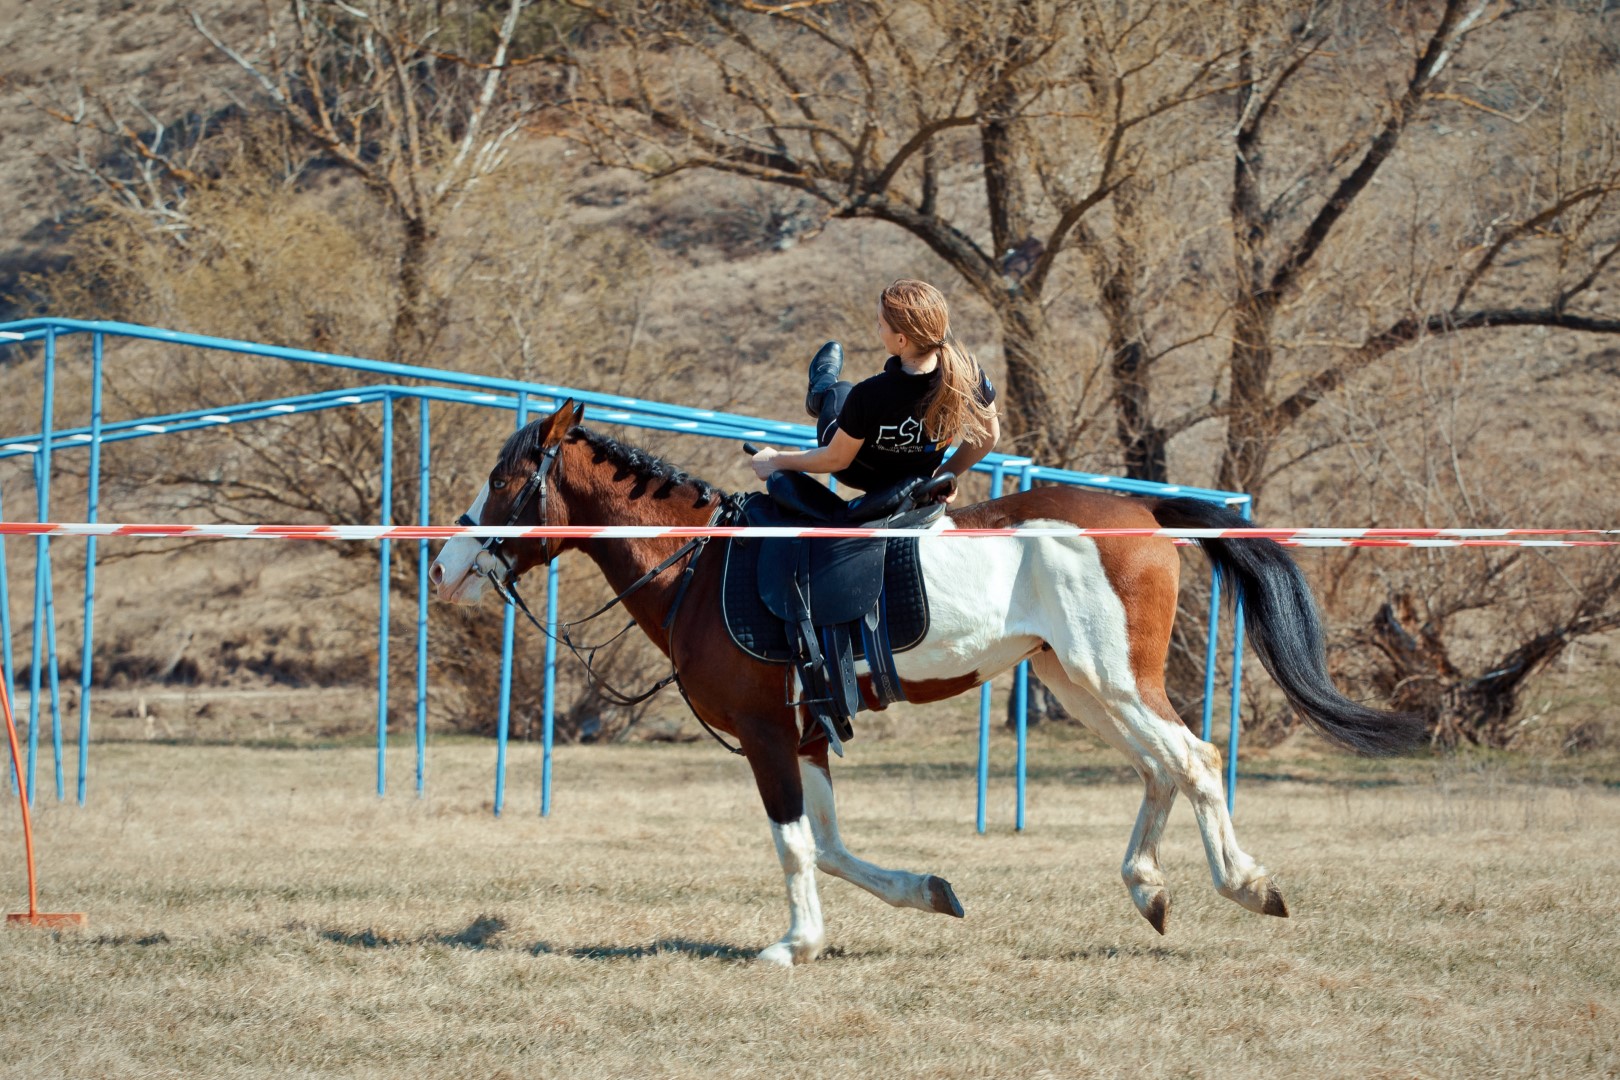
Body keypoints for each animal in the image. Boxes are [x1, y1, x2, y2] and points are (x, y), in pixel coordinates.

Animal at [429, 400, 1424, 966]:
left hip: (1113, 679)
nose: (444, 563)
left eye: (504, 478)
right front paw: (926, 893)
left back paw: (1245, 883)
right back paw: (1148, 887)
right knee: (1159, 770)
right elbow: (830, 846)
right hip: (1079, 683)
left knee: (1194, 759)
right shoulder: (802, 734)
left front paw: (796, 944)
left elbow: (795, 847)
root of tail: (1138, 511)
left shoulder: (765, 735)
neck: (703, 566)